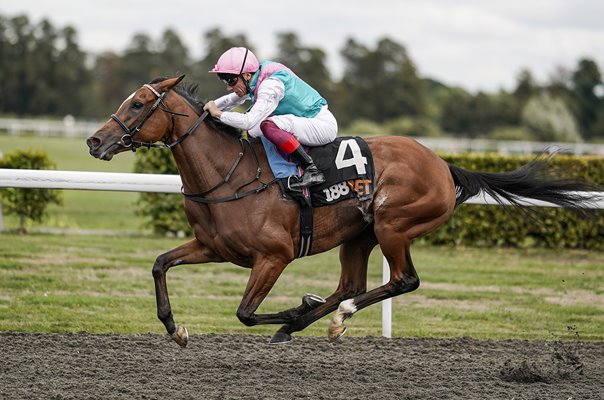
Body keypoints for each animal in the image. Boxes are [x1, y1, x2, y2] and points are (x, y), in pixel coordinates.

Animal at [85, 76, 600, 346]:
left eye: (138, 103)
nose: (93, 140)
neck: (229, 175)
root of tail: (443, 164)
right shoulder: (213, 246)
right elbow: (160, 264)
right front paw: (175, 328)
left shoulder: (274, 256)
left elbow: (246, 313)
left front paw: (291, 314)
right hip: (359, 235)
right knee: (351, 285)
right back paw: (320, 315)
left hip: (394, 224)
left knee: (402, 281)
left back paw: (325, 317)